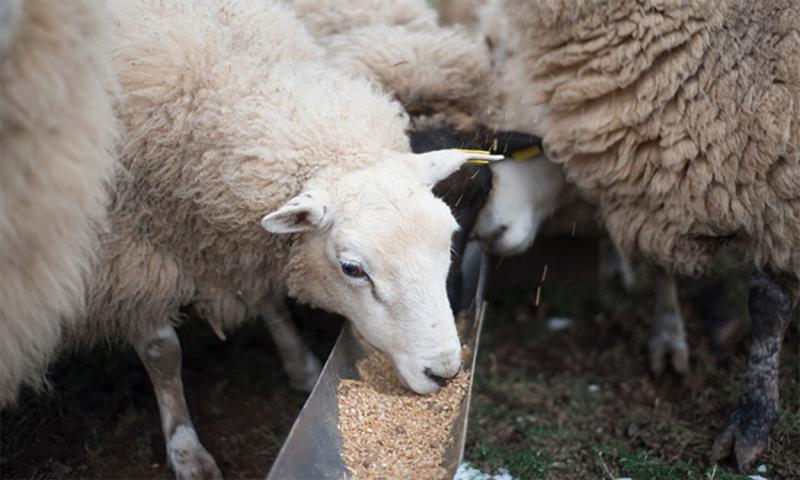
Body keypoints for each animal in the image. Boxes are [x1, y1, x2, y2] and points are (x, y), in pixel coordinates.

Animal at [85, 1, 500, 477]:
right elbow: (162, 353)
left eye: (447, 240)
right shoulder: (130, 261)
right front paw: (187, 450)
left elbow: (271, 301)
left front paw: (302, 366)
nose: (445, 373)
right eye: (352, 269)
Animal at [501, 0, 799, 471]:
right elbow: (666, 265)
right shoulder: (653, 170)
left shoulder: (783, 202)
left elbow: (768, 307)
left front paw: (753, 422)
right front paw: (671, 336)